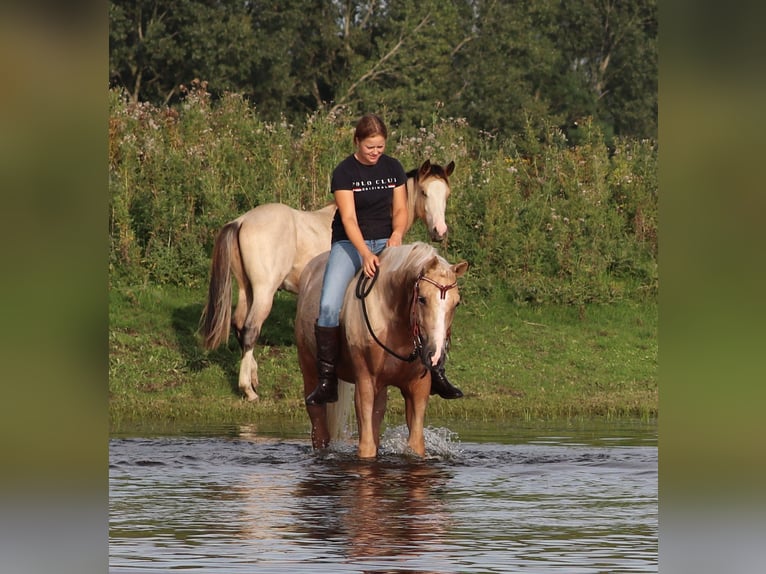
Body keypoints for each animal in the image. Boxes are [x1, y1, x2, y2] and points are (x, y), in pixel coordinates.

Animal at [201, 160, 460, 402]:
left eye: (447, 194)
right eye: (424, 192)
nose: (440, 231)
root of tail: (242, 221)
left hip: (247, 290)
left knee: (240, 326)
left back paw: (253, 378)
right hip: (264, 292)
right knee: (251, 329)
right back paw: (249, 390)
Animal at [296, 243, 472, 460]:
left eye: (456, 303)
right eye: (422, 299)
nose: (435, 356)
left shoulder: (418, 388)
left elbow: (415, 445)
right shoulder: (365, 384)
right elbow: (366, 448)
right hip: (309, 371)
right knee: (319, 429)